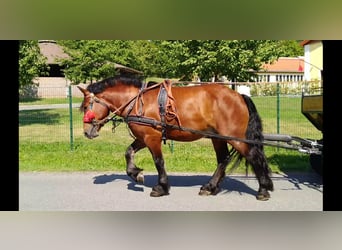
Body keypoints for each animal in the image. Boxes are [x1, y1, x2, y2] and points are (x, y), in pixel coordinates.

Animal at [76, 75, 274, 201]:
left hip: (236, 138)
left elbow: (158, 162)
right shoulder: (144, 136)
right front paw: (136, 174)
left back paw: (263, 189)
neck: (137, 101)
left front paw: (161, 187)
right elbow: (128, 152)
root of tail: (239, 95)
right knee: (223, 159)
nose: (86, 132)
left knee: (253, 157)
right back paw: (210, 187)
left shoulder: (152, 137)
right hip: (218, 137)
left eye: (86, 106)